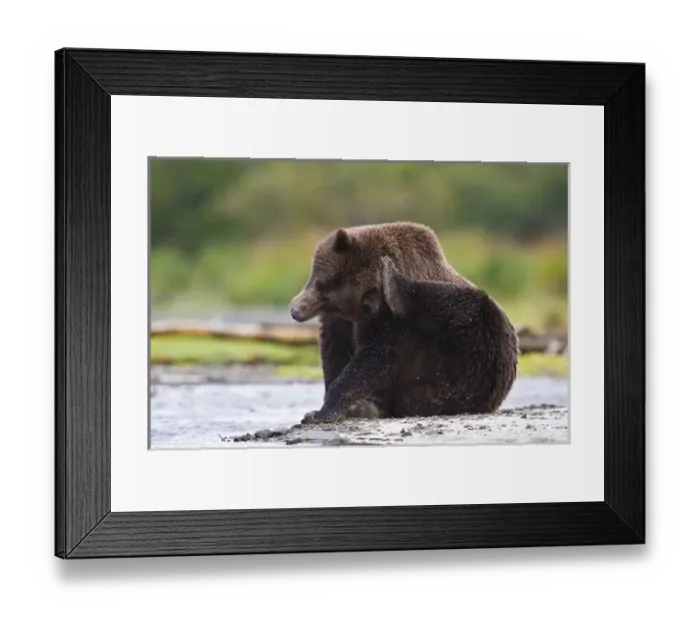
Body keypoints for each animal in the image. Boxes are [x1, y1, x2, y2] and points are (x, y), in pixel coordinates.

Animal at [288, 222, 519, 423]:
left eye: (324, 291)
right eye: (320, 284)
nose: (296, 310)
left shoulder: (388, 323)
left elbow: (372, 358)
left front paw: (322, 412)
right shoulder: (340, 323)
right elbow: (334, 352)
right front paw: (329, 407)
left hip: (476, 353)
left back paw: (392, 279)